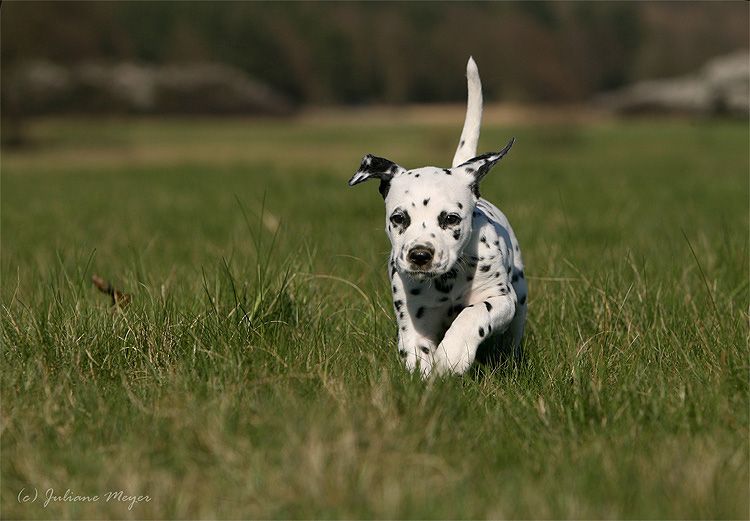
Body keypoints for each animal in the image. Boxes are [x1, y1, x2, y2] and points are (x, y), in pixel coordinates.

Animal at [348, 57, 528, 376]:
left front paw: (453, 353)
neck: (449, 280)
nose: (420, 255)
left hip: (520, 292)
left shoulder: (500, 299)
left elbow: (473, 314)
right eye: (398, 218)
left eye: (451, 219)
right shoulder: (414, 318)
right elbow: (416, 351)